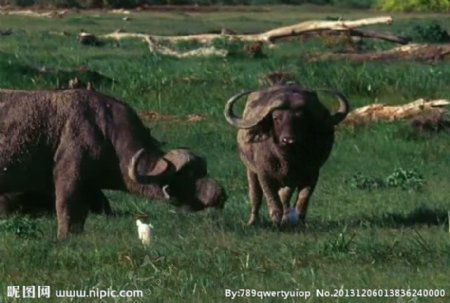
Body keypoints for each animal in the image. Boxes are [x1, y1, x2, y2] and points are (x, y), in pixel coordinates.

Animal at [0, 89, 225, 241]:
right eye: (189, 174)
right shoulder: (68, 179)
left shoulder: (90, 188)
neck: (106, 132)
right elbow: (66, 209)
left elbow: (80, 217)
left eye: (204, 170)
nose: (220, 193)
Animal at [223, 84, 350, 227]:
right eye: (276, 118)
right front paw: (276, 221)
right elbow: (272, 198)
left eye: (301, 118)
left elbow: (302, 198)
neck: (287, 159)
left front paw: (298, 221)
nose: (288, 140)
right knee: (255, 195)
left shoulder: (311, 173)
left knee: (284, 196)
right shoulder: (264, 175)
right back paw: (253, 221)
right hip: (251, 171)